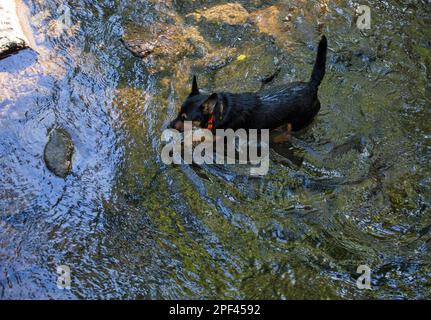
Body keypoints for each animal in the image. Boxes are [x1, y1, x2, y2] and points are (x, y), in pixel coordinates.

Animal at [170, 35, 328, 138]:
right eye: (178, 113)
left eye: (185, 118)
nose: (168, 126)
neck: (219, 111)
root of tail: (311, 85)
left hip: (297, 123)